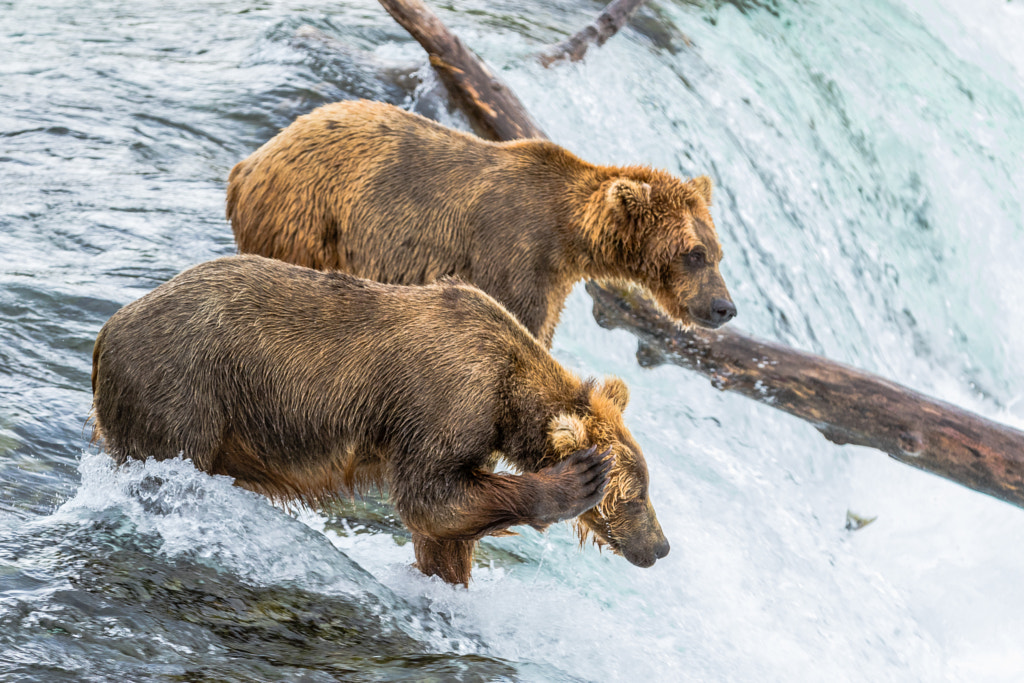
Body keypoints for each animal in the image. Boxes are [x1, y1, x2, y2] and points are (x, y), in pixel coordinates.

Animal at [90, 253, 671, 585]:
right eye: (636, 494)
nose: (660, 547)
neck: (509, 397)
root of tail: (105, 332)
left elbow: (445, 526)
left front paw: (446, 579)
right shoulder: (445, 400)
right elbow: (430, 496)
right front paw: (575, 478)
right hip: (184, 389)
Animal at [225, 97, 737, 348]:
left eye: (717, 253)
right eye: (694, 254)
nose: (724, 308)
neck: (569, 238)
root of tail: (252, 159)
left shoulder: (551, 279)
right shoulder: (514, 255)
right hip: (308, 217)